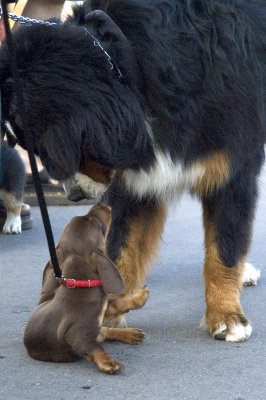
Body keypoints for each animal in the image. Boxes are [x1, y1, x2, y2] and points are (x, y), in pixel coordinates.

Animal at [23, 203, 149, 376]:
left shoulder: (102, 309)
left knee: (106, 330)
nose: (101, 204)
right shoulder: (77, 336)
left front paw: (137, 298)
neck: (81, 284)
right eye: (95, 223)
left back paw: (130, 333)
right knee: (103, 335)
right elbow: (95, 348)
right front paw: (108, 362)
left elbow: (115, 303)